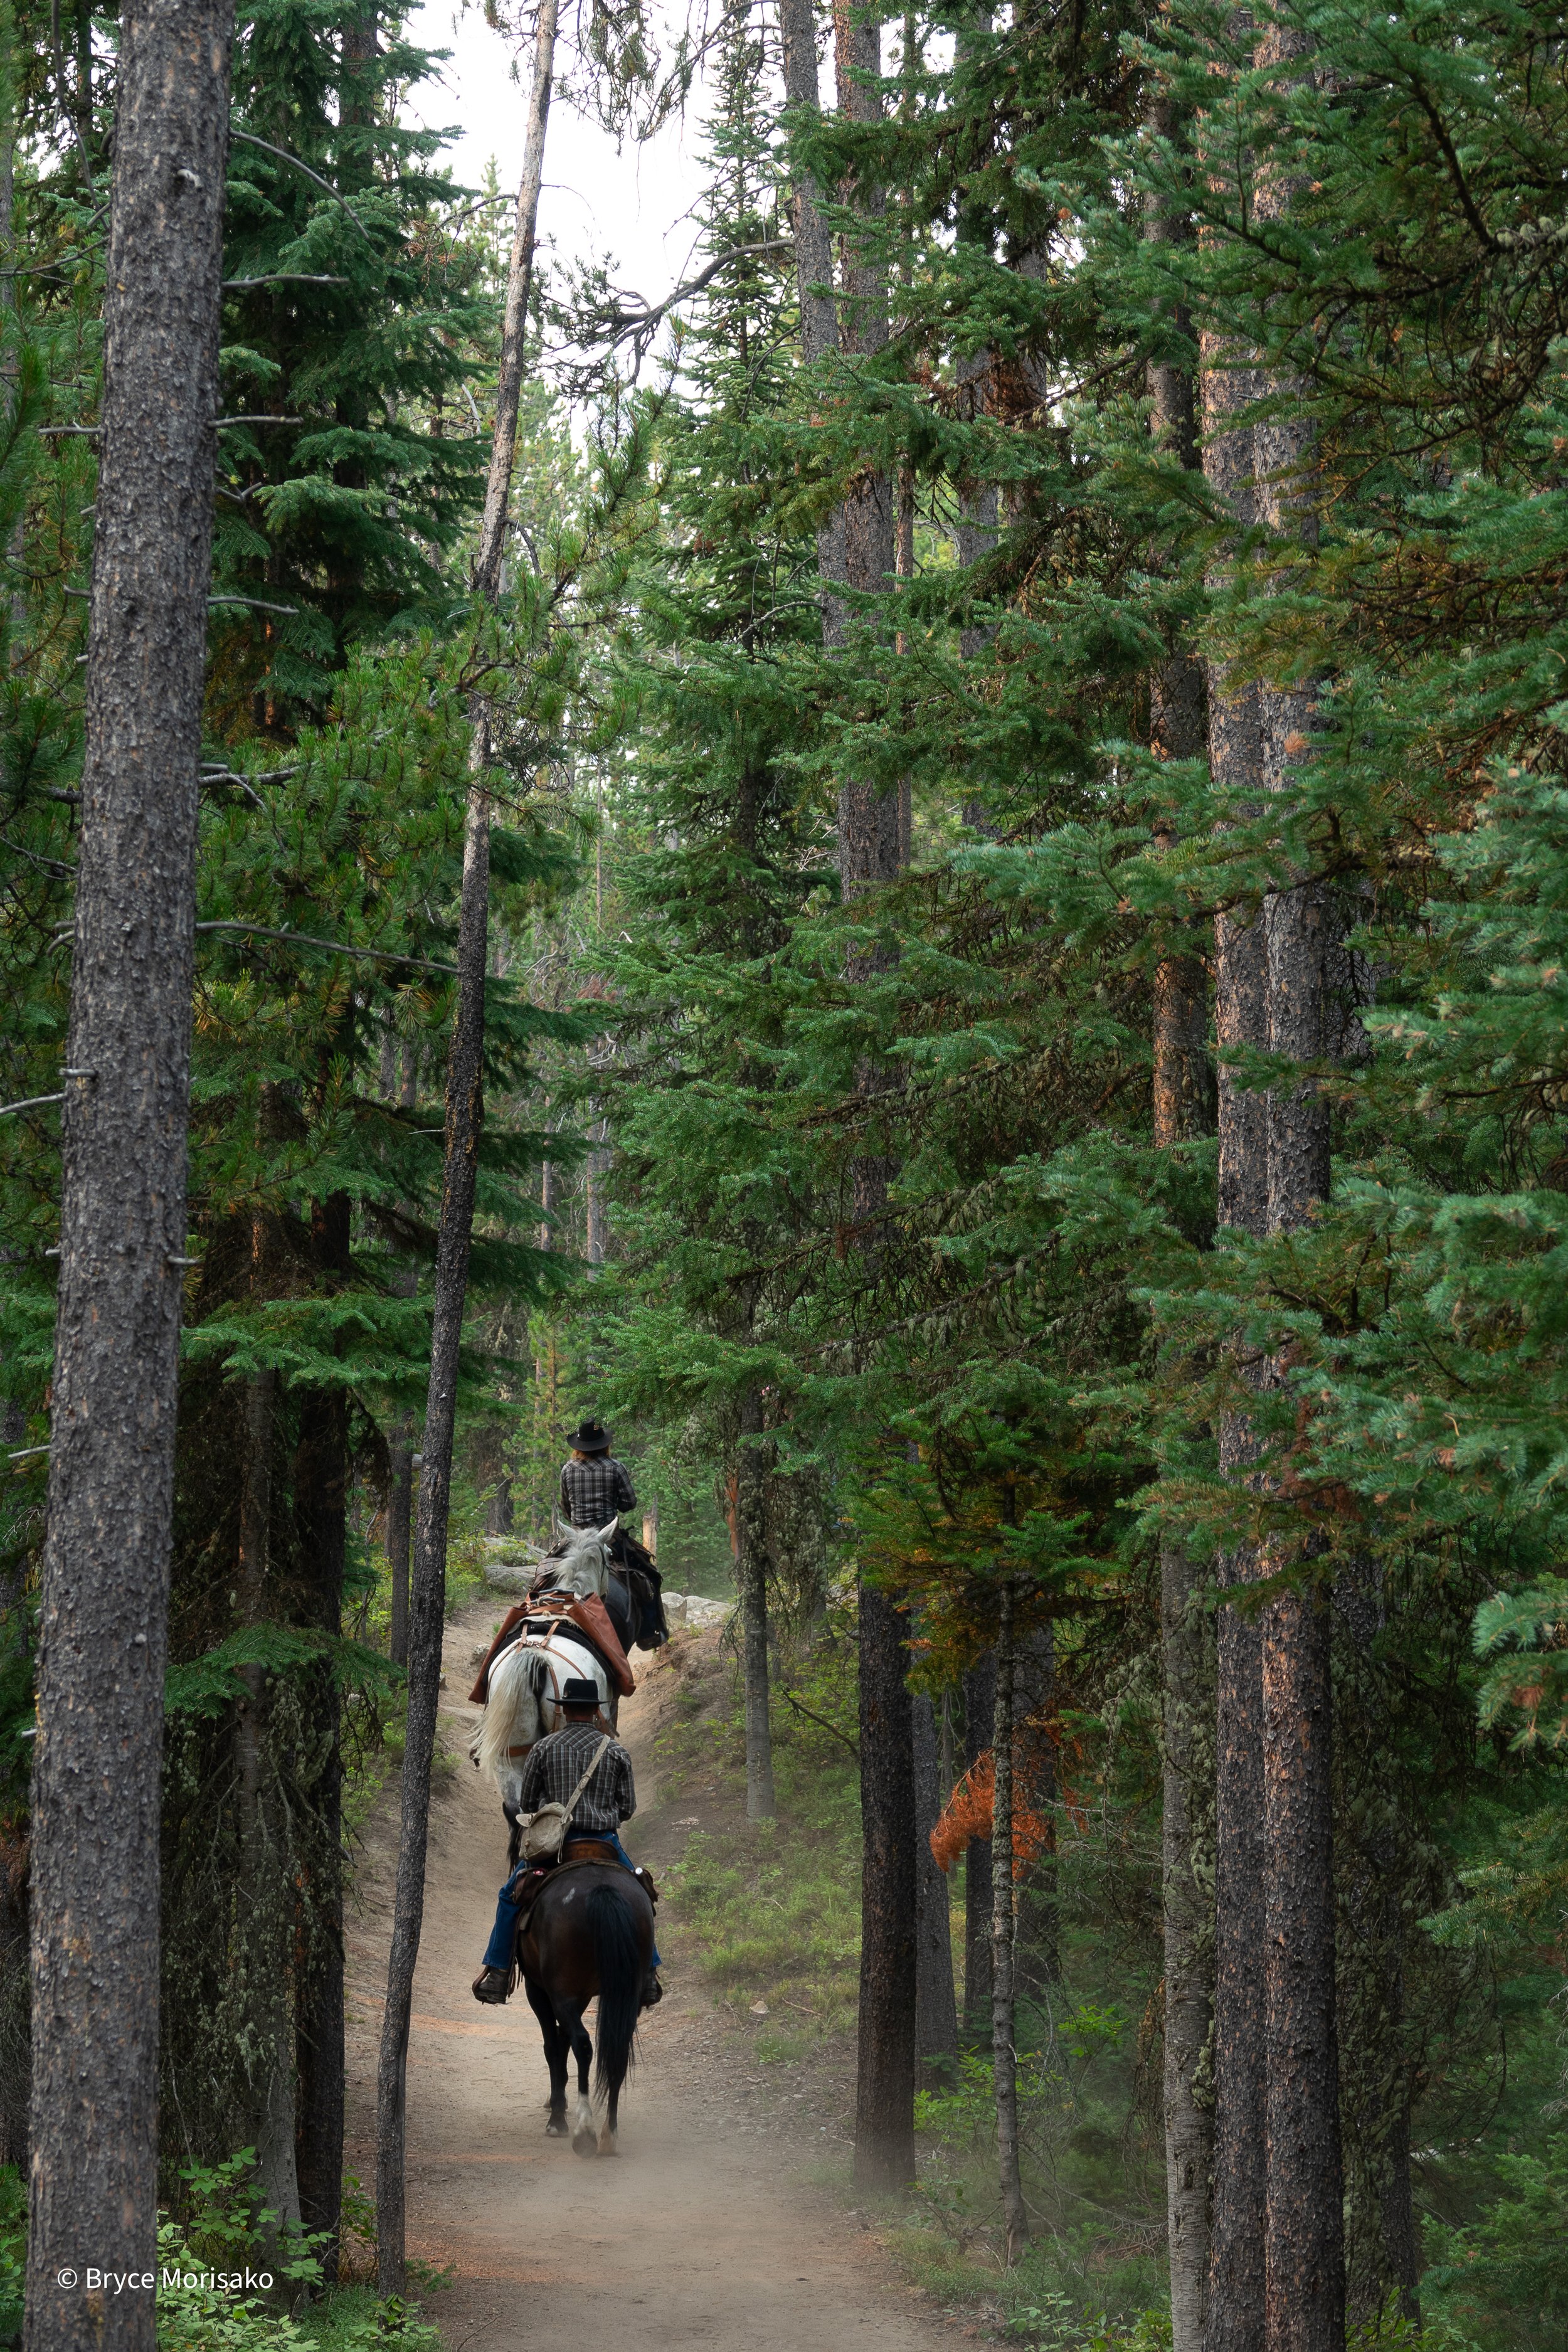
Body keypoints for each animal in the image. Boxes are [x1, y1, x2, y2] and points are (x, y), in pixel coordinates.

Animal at [519, 1849, 656, 2156]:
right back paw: (609, 2136)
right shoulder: (578, 1998)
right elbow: (562, 2041)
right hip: (625, 1995)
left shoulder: (540, 1991)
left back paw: (584, 2131)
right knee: (617, 2049)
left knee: (582, 2044)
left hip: (561, 1993)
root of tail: (603, 1891)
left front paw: (557, 2116)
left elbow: (553, 2046)